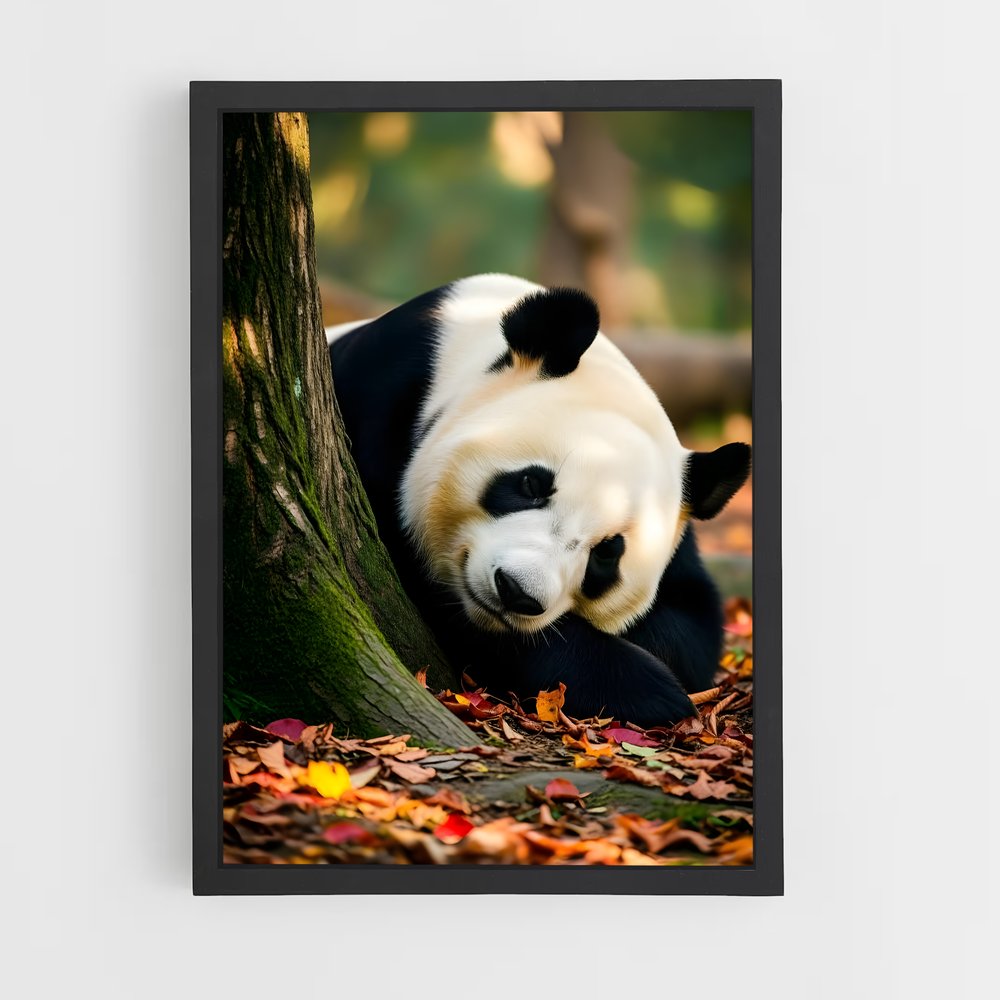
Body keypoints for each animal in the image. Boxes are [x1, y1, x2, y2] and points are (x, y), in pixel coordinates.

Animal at [327, 273, 750, 727]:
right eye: (531, 485)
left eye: (606, 554)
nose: (516, 592)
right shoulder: (379, 403)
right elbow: (415, 585)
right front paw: (645, 689)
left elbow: (693, 626)